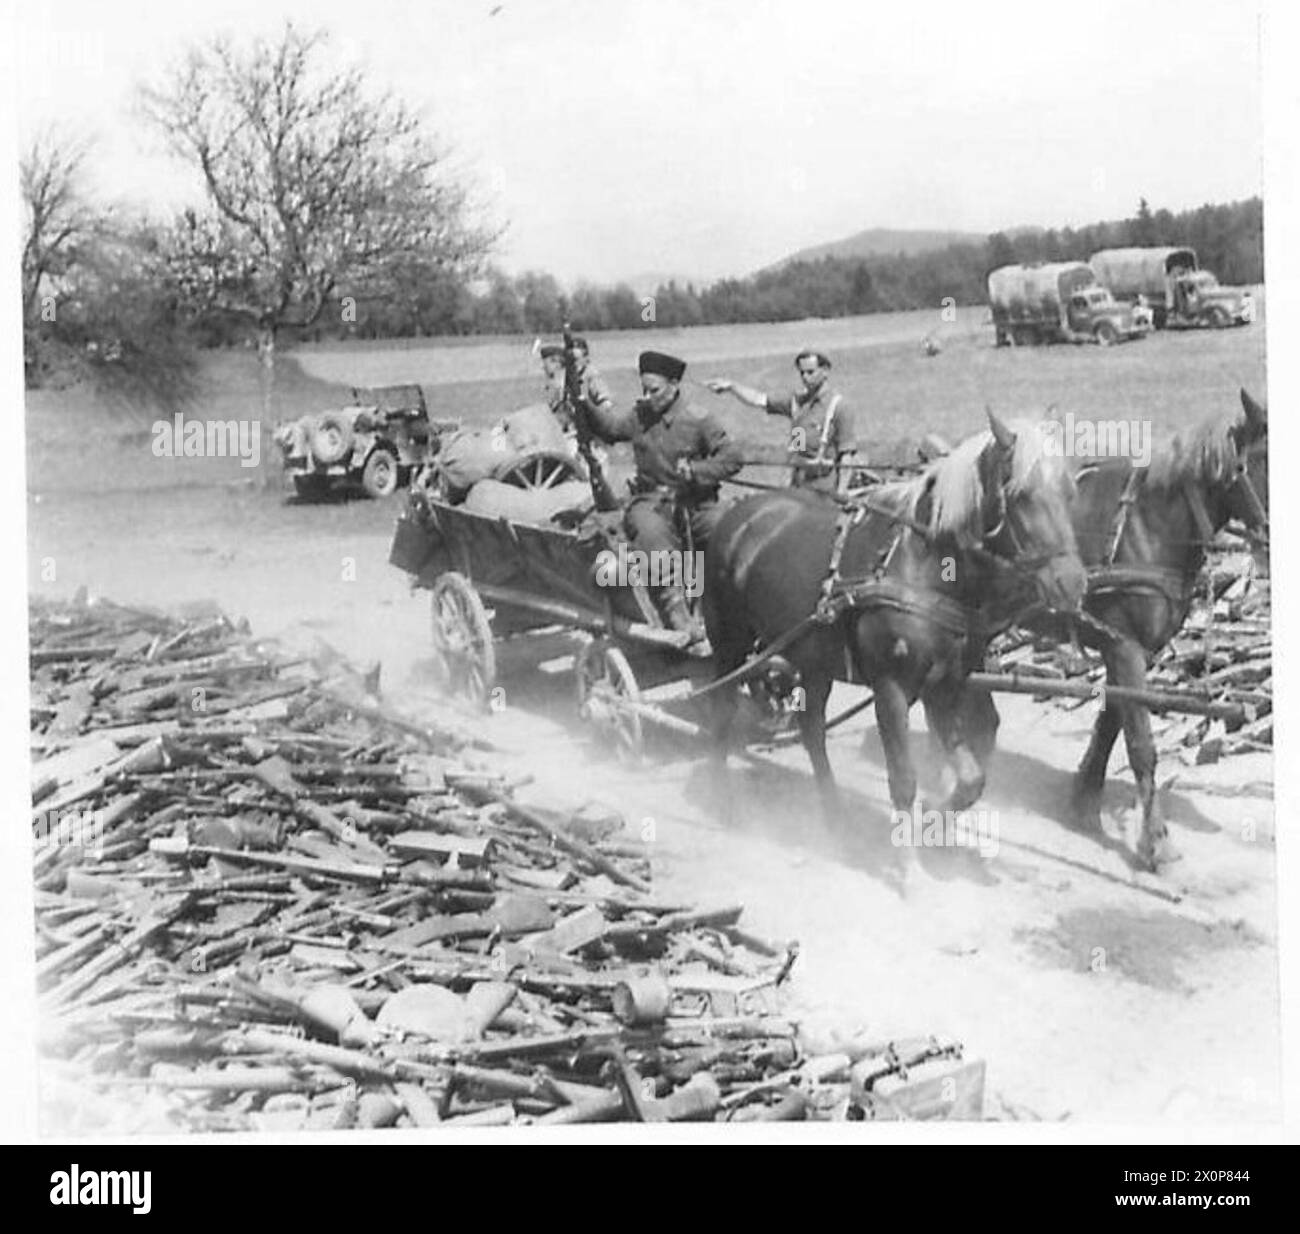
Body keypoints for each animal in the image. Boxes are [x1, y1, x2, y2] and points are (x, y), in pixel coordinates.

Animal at [702, 413, 1086, 827]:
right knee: (722, 711)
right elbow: (903, 780)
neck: (922, 570)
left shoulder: (945, 686)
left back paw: (833, 815)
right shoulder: (891, 688)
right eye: (1021, 495)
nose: (1071, 582)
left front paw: (936, 812)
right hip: (730, 644)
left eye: (1070, 493)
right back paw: (721, 798)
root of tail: (739, 513)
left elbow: (971, 777)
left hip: (814, 658)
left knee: (812, 729)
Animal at [967, 390, 1268, 873]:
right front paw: (1156, 841)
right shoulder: (1124, 646)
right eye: (1263, 460)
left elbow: (1111, 722)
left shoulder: (1129, 648)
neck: (1150, 524)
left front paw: (1084, 800)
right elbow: (1140, 742)